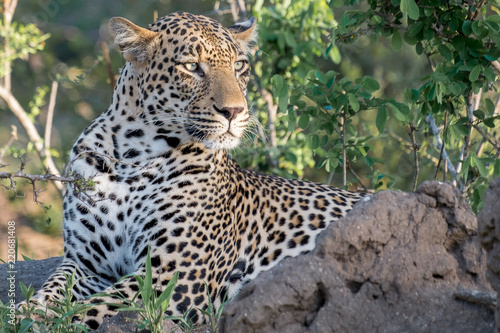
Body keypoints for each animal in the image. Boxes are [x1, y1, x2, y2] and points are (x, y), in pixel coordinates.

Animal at [23, 11, 366, 330]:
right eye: (191, 67)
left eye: (239, 66)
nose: (234, 111)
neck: (132, 155)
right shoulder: (85, 263)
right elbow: (50, 294)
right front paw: (26, 313)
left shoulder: (172, 277)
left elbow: (88, 309)